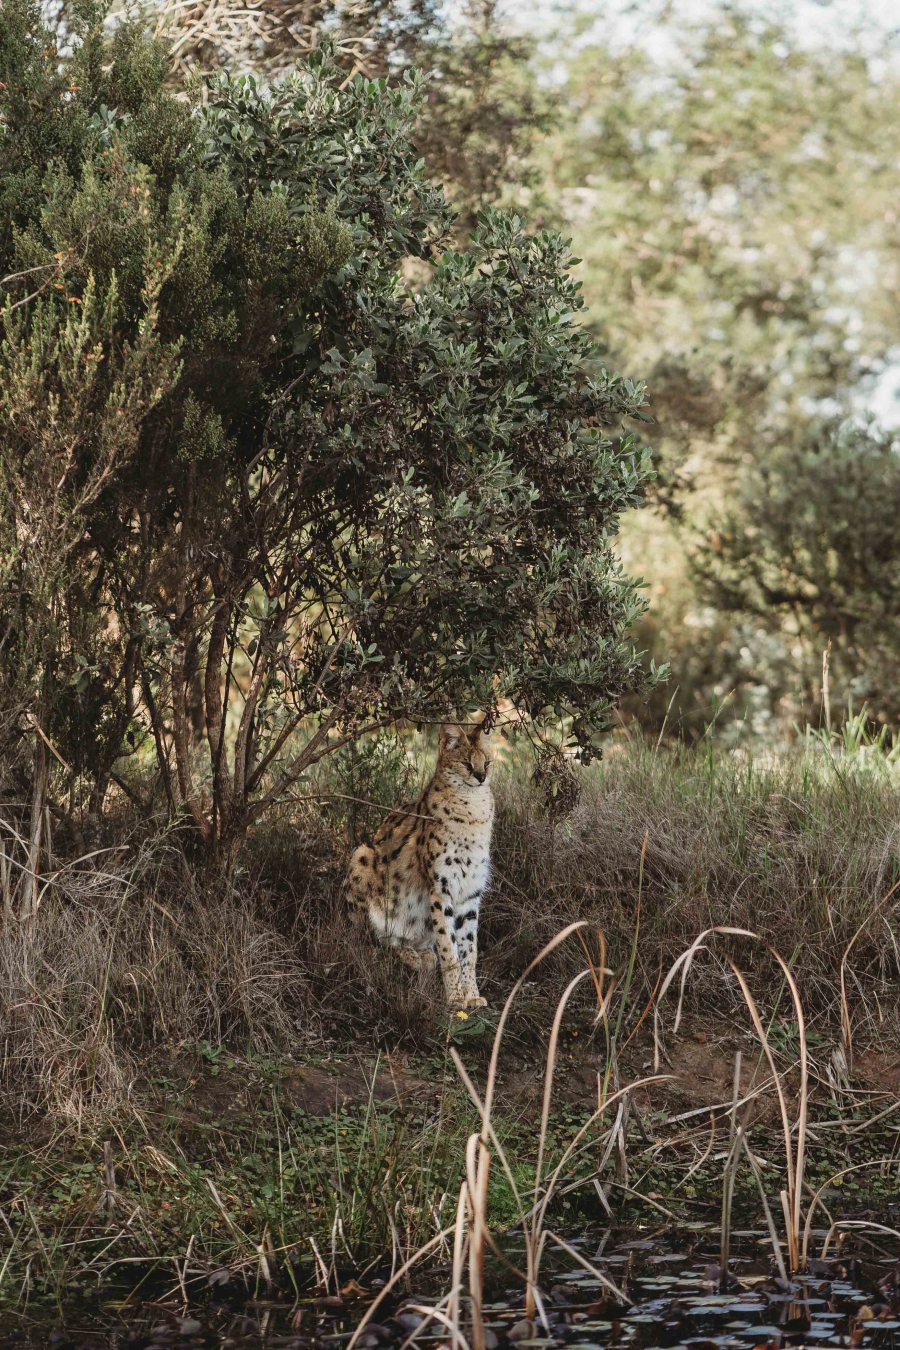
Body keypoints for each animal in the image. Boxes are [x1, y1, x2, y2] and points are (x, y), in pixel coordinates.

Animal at [348, 729, 496, 1004]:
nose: (481, 777)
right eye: (467, 764)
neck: (474, 806)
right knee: (368, 943)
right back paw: (406, 955)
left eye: (488, 762)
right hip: (362, 855)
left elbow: (469, 948)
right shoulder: (441, 887)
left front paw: (471, 994)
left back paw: (421, 955)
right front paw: (455, 997)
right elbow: (448, 944)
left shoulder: (471, 891)